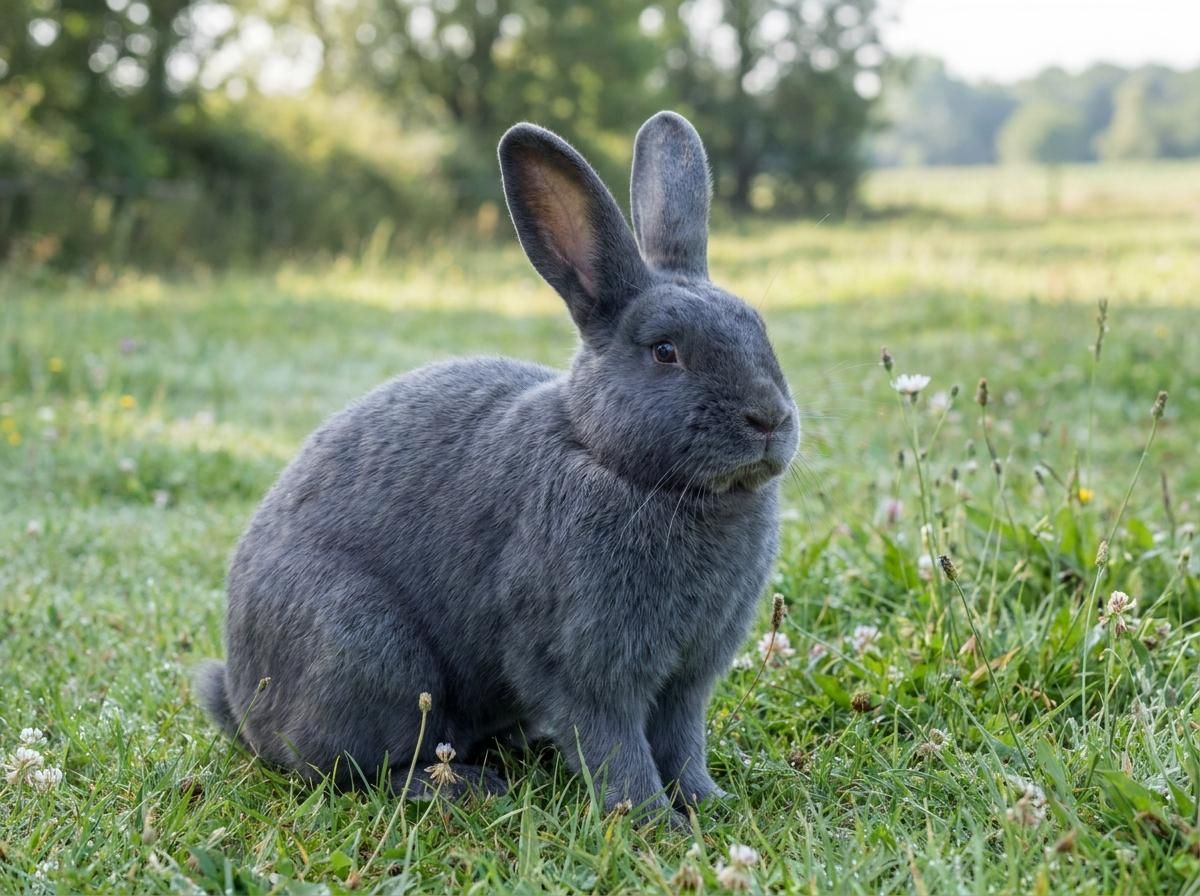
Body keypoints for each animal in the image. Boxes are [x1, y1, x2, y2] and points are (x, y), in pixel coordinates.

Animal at [195, 110, 799, 825]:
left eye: (759, 328)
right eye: (664, 351)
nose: (771, 420)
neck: (613, 459)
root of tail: (243, 705)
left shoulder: (687, 678)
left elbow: (682, 741)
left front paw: (709, 804)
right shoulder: (584, 665)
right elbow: (616, 745)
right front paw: (652, 823)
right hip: (369, 653)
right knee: (350, 769)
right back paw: (462, 786)